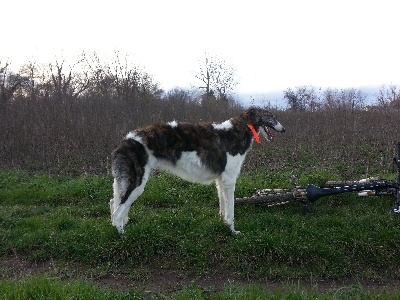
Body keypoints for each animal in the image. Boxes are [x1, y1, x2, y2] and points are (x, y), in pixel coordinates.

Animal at [109, 107, 284, 234]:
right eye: (271, 116)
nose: (284, 129)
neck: (240, 129)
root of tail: (126, 140)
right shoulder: (229, 180)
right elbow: (231, 211)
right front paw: (233, 231)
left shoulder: (221, 180)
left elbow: (223, 207)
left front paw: (223, 224)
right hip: (138, 183)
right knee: (118, 212)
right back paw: (123, 236)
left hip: (124, 182)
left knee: (113, 204)